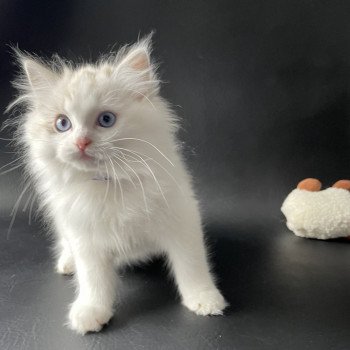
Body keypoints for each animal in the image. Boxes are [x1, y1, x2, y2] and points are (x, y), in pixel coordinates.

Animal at [8, 35, 227, 334]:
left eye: (106, 120)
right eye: (62, 124)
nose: (81, 142)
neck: (108, 183)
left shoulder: (181, 221)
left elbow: (191, 266)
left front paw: (205, 300)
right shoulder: (85, 237)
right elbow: (93, 280)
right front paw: (90, 312)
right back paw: (66, 263)